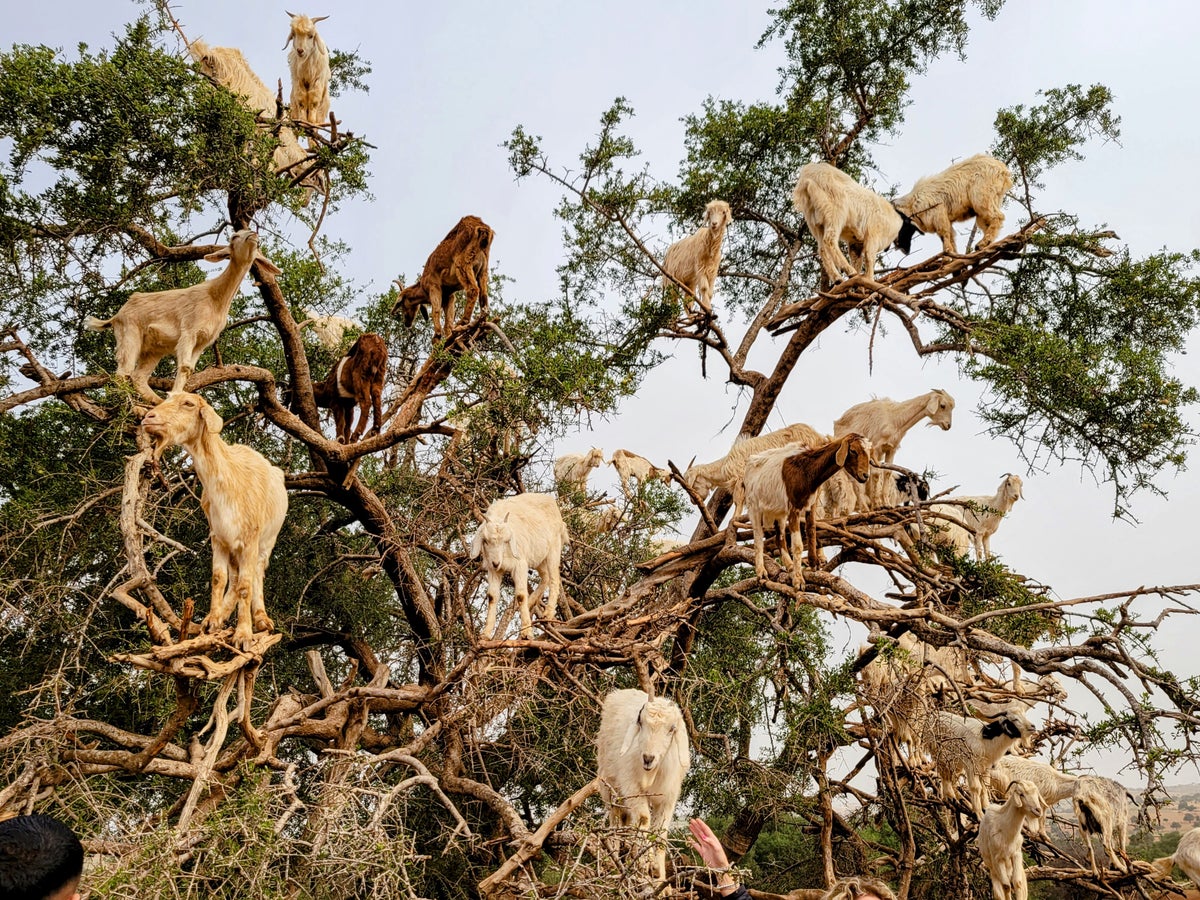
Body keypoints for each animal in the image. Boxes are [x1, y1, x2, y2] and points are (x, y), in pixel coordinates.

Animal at [138, 393, 288, 648]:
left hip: (268, 540)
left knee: (256, 573)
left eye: (188, 404)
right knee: (235, 577)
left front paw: (243, 635)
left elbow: (246, 585)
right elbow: (219, 578)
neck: (229, 481)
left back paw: (261, 620)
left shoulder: (250, 538)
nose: (149, 418)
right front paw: (213, 621)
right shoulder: (218, 537)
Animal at [470, 494, 568, 643]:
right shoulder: (493, 570)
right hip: (537, 556)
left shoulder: (520, 564)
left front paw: (526, 633)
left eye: (506, 541)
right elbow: (492, 596)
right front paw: (485, 634)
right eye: (485, 541)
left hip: (554, 548)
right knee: (545, 576)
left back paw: (548, 613)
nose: (496, 563)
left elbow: (521, 595)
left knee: (554, 578)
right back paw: (531, 603)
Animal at [595, 696, 691, 883]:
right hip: (609, 785)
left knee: (624, 819)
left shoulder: (668, 797)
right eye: (640, 722)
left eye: (672, 729)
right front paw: (646, 864)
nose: (648, 758)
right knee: (615, 818)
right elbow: (643, 819)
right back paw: (615, 861)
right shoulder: (633, 787)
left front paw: (660, 877)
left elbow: (661, 832)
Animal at [777, 434, 873, 588]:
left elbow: (811, 526)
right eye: (853, 450)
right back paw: (789, 565)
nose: (865, 475)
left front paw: (814, 562)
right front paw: (798, 577)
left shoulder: (812, 501)